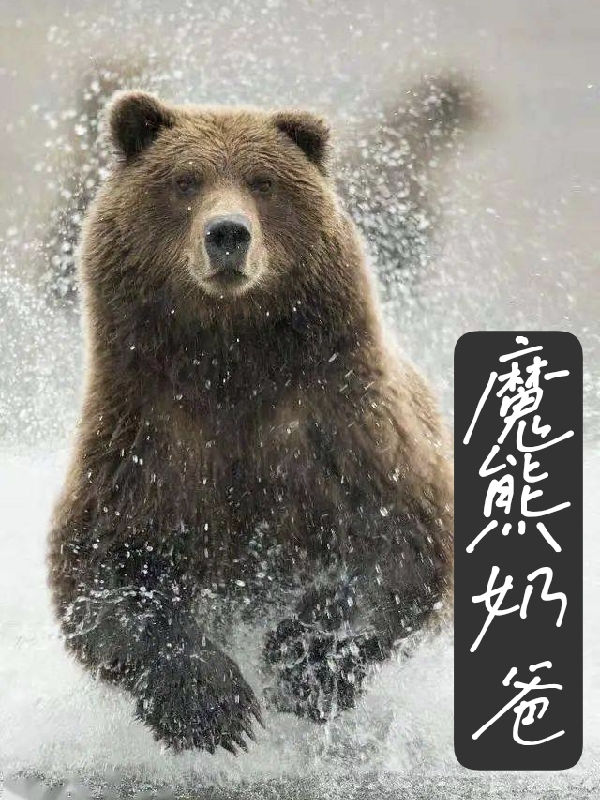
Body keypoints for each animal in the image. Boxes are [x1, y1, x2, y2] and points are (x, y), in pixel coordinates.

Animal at [48, 91, 454, 755]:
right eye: (185, 180)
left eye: (263, 182)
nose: (228, 233)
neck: (232, 364)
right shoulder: (146, 440)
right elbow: (103, 574)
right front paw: (214, 708)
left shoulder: (340, 427)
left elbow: (397, 545)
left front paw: (301, 664)